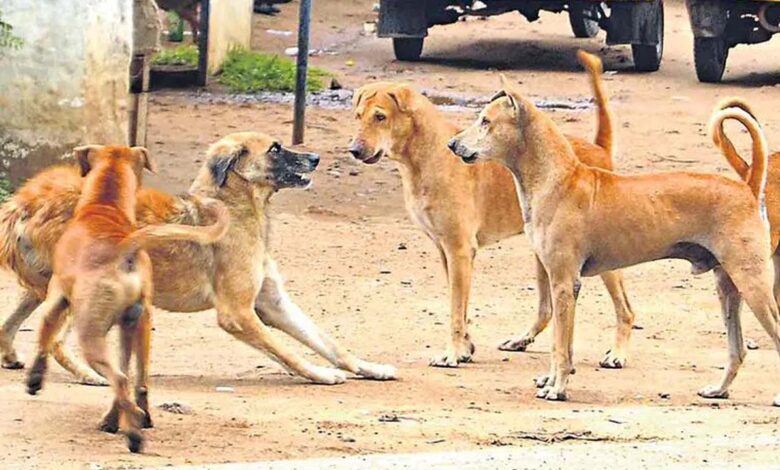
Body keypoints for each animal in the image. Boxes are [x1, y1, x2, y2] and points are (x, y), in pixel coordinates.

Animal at [0, 130, 394, 392]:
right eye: (275, 148)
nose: (316, 158)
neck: (236, 207)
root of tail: (25, 202)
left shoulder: (273, 303)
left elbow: (329, 342)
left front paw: (369, 367)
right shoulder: (238, 313)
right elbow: (287, 352)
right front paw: (321, 374)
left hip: (44, 287)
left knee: (11, 323)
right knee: (57, 341)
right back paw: (92, 375)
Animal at [23, 144, 229, 452]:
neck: (104, 206)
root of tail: (123, 249)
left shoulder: (56, 297)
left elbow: (44, 336)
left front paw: (34, 380)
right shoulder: (132, 323)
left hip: (90, 333)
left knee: (120, 380)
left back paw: (133, 431)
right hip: (139, 326)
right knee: (136, 381)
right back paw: (131, 418)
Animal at [350, 50, 636, 368]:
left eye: (380, 117)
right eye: (358, 116)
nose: (354, 150)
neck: (428, 155)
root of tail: (599, 149)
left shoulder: (460, 249)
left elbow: (455, 310)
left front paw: (453, 353)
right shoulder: (445, 251)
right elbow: (460, 308)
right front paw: (465, 348)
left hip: (602, 260)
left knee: (625, 309)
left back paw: (618, 354)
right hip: (543, 257)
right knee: (546, 310)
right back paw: (521, 340)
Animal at [448, 79, 780, 406]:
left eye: (485, 121)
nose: (451, 144)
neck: (557, 180)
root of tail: (748, 188)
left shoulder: (564, 284)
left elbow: (560, 346)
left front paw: (557, 388)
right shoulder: (559, 281)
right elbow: (560, 344)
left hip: (752, 282)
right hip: (728, 288)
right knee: (738, 350)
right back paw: (719, 390)